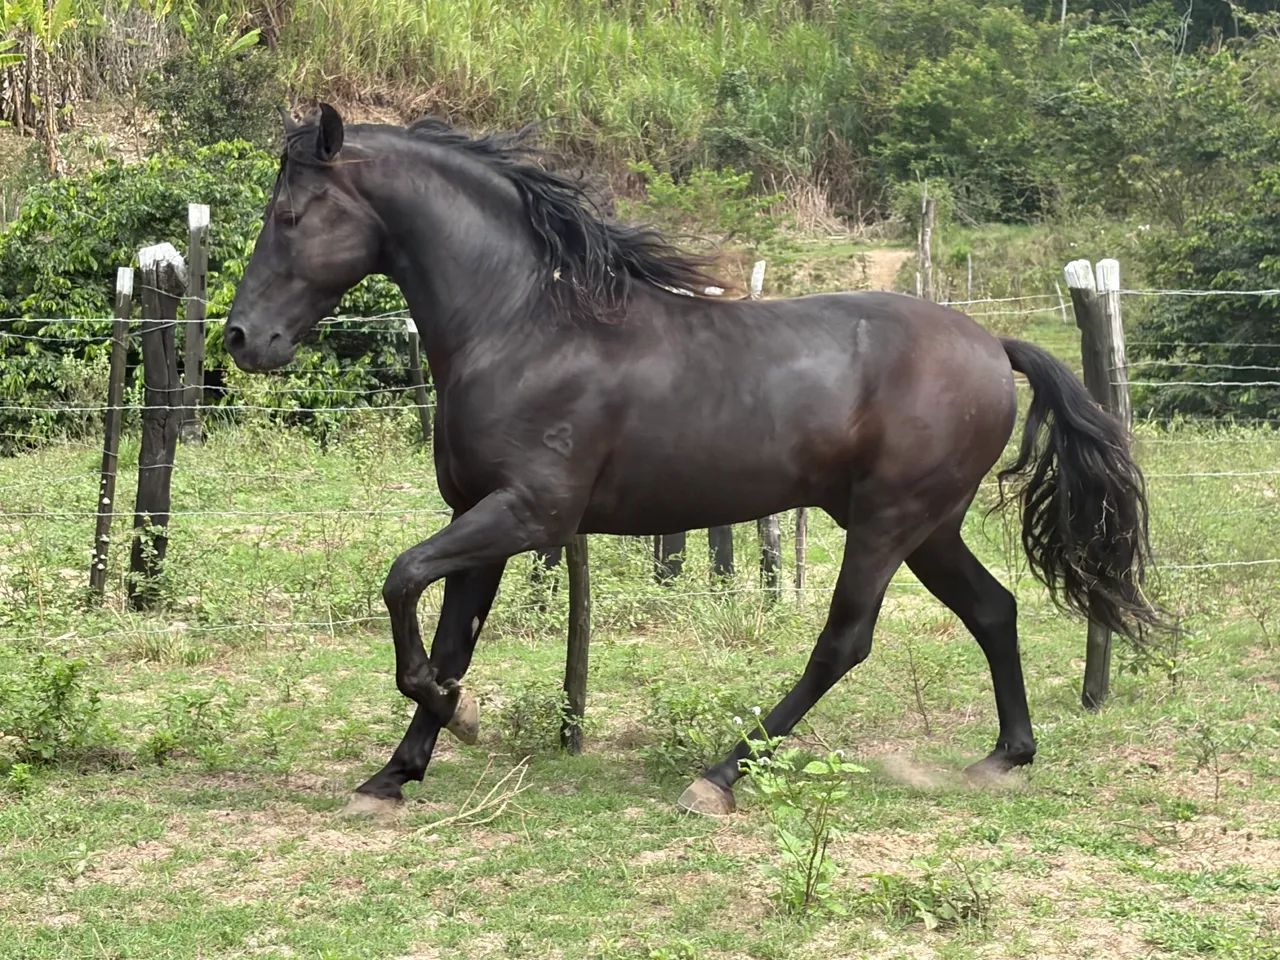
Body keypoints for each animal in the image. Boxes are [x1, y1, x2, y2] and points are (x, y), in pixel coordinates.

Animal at [226, 104, 1164, 816]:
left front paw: (460, 721)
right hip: (925, 526)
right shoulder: (476, 514)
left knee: (845, 641)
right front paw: (398, 769)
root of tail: (992, 344)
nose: (241, 338)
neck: (523, 326)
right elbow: (451, 634)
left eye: (289, 216)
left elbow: (400, 582)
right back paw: (1006, 756)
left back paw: (719, 776)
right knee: (994, 609)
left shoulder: (530, 514)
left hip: (889, 522)